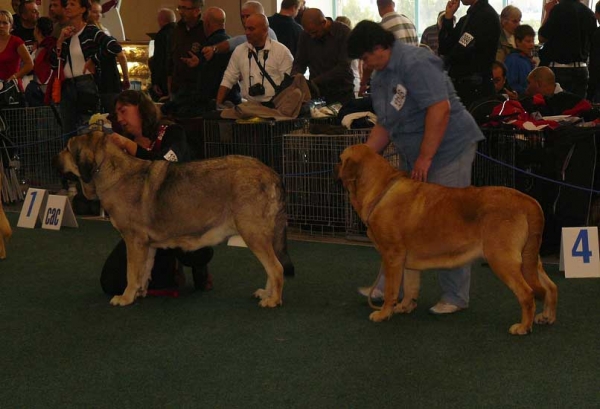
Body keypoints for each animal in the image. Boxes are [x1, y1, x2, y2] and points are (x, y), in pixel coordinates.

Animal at [55, 131, 294, 306]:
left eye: (67, 148)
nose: (55, 158)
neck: (110, 169)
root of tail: (272, 174)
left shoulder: (134, 240)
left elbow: (131, 272)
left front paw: (125, 297)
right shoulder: (147, 245)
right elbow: (144, 271)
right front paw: (139, 292)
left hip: (253, 234)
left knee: (276, 268)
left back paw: (273, 300)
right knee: (273, 268)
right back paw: (267, 293)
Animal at [338, 143, 556, 334]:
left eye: (340, 160)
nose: (334, 168)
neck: (380, 190)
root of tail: (528, 201)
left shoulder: (392, 256)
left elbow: (392, 290)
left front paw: (384, 313)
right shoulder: (406, 261)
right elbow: (410, 287)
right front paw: (405, 307)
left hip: (502, 259)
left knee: (528, 293)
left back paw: (523, 327)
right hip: (529, 258)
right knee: (550, 287)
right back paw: (547, 317)